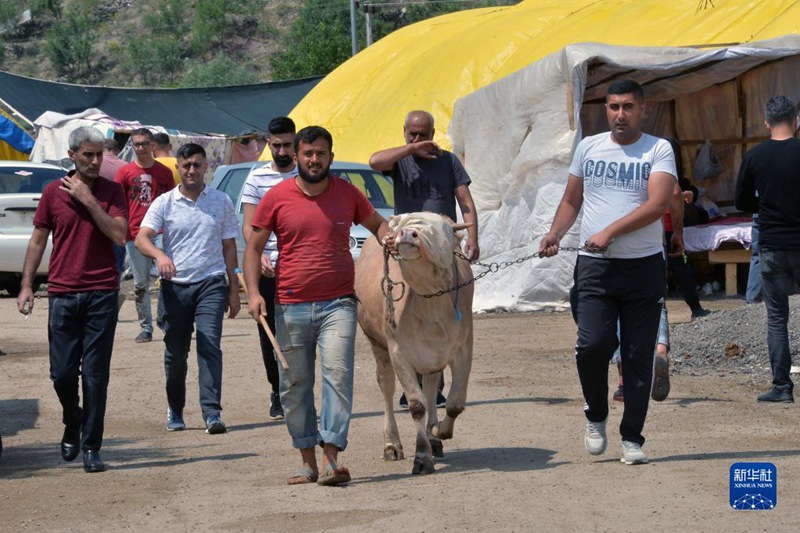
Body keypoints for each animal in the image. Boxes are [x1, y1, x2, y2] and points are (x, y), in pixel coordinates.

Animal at [354, 212, 472, 474]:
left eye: (443, 227)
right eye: (402, 225)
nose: (407, 233)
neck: (430, 301)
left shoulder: (463, 349)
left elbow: (454, 403)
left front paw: (438, 431)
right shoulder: (399, 353)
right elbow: (417, 405)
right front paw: (422, 456)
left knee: (430, 387)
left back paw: (433, 437)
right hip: (378, 344)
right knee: (387, 387)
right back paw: (392, 444)